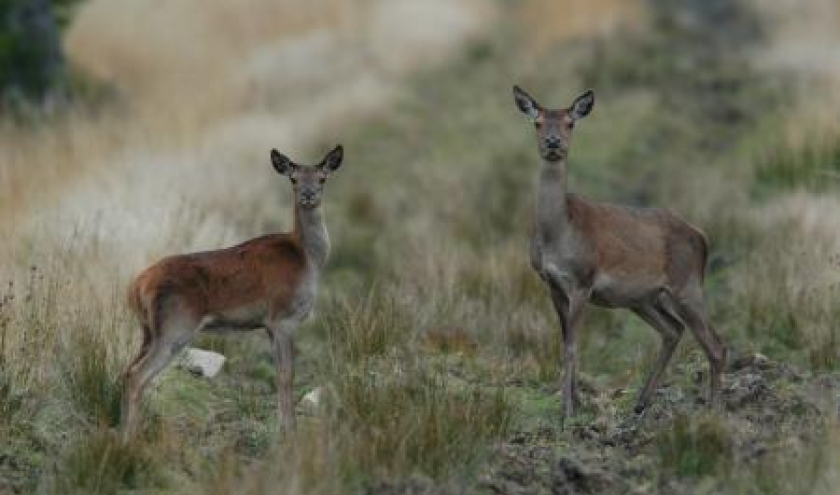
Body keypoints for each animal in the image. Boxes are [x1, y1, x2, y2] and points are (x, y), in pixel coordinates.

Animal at [120, 144, 342, 442]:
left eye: (322, 178)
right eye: (294, 179)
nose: (308, 195)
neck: (307, 259)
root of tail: (136, 287)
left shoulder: (269, 325)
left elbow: (279, 374)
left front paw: (283, 428)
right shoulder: (283, 318)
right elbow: (286, 375)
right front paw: (289, 433)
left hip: (149, 331)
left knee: (127, 370)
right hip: (175, 326)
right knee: (137, 375)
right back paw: (130, 439)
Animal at [512, 86, 728, 422]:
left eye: (570, 123)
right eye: (537, 123)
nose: (553, 143)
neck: (556, 234)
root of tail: (702, 237)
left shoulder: (583, 281)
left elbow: (572, 346)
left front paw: (568, 412)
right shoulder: (551, 284)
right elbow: (565, 342)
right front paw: (577, 403)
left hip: (687, 286)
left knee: (715, 344)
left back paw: (714, 410)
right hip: (643, 299)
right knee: (673, 330)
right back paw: (641, 402)